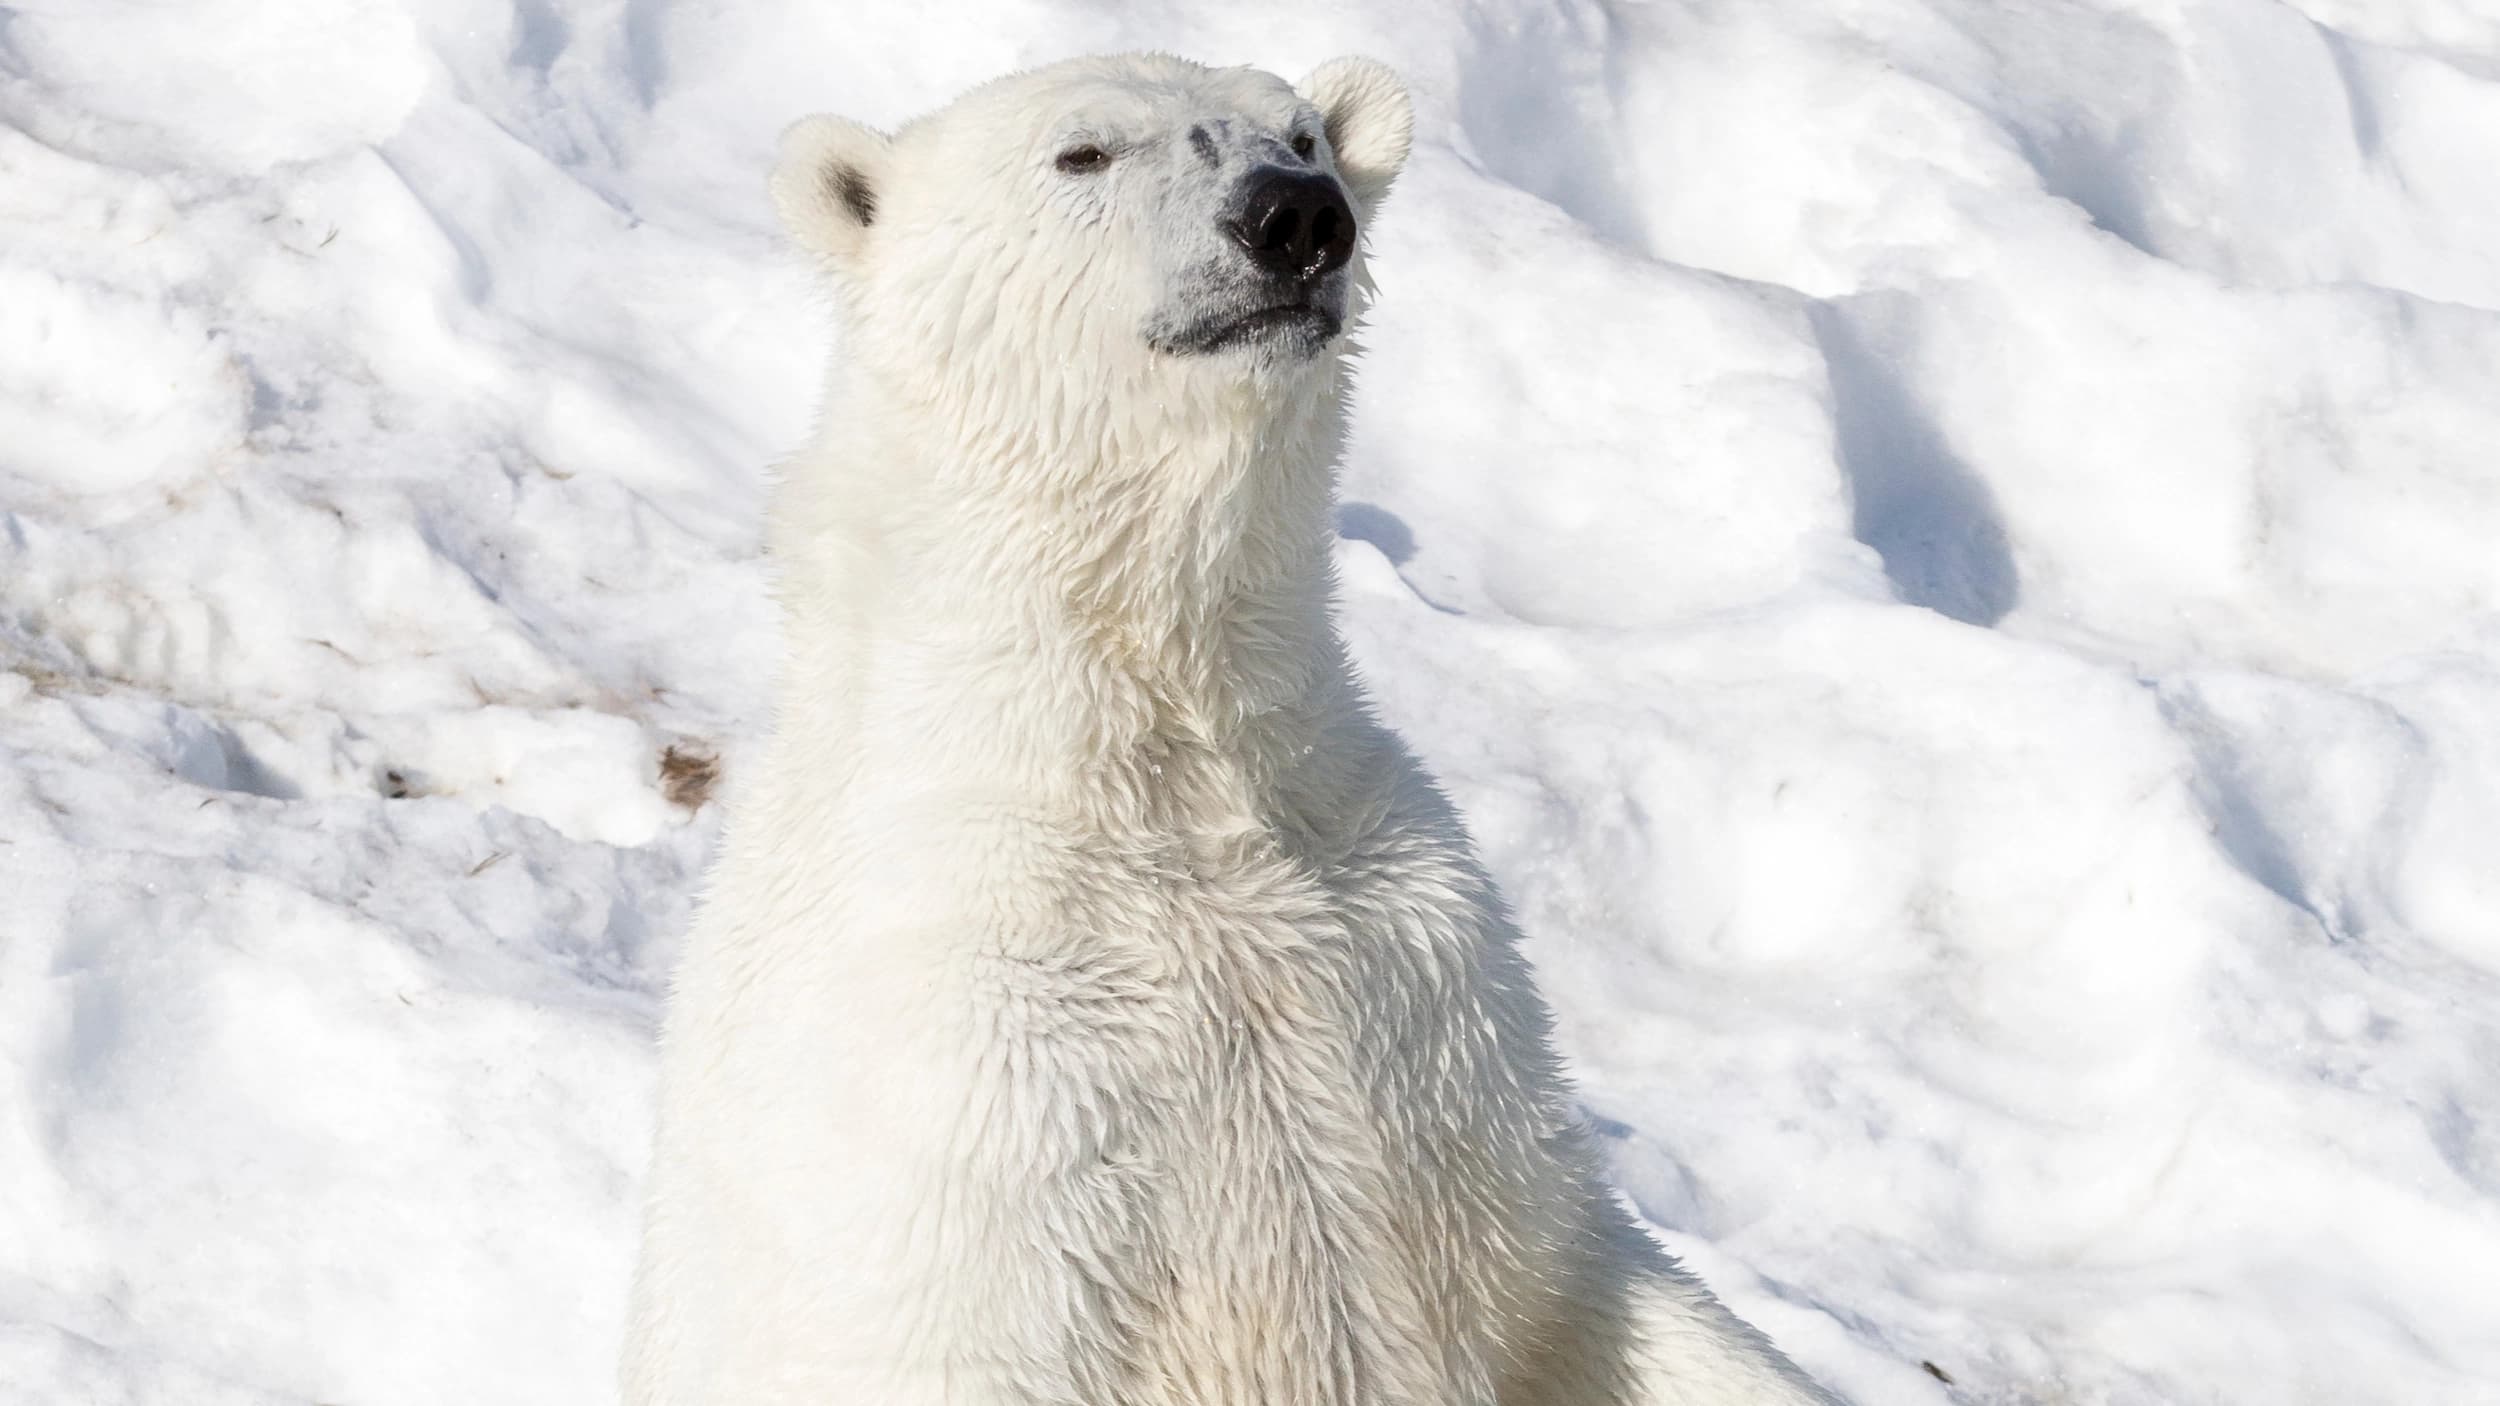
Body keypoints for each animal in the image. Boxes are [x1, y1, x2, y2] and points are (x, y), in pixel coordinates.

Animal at [621, 51, 1841, 1406]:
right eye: (1083, 152)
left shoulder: (1422, 983)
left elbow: (1588, 1282)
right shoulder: (971, 1076)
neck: (1142, 761)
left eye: (1302, 133)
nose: (1294, 216)